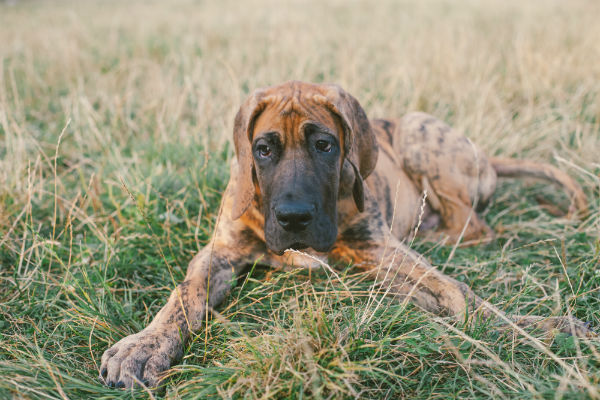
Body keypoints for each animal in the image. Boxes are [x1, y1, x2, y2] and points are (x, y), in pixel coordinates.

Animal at [101, 79, 592, 390]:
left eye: (325, 146)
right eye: (263, 150)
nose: (294, 217)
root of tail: (487, 156)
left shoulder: (380, 248)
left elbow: (458, 293)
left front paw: (541, 329)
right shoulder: (220, 252)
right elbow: (184, 295)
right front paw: (142, 347)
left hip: (418, 133)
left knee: (474, 227)